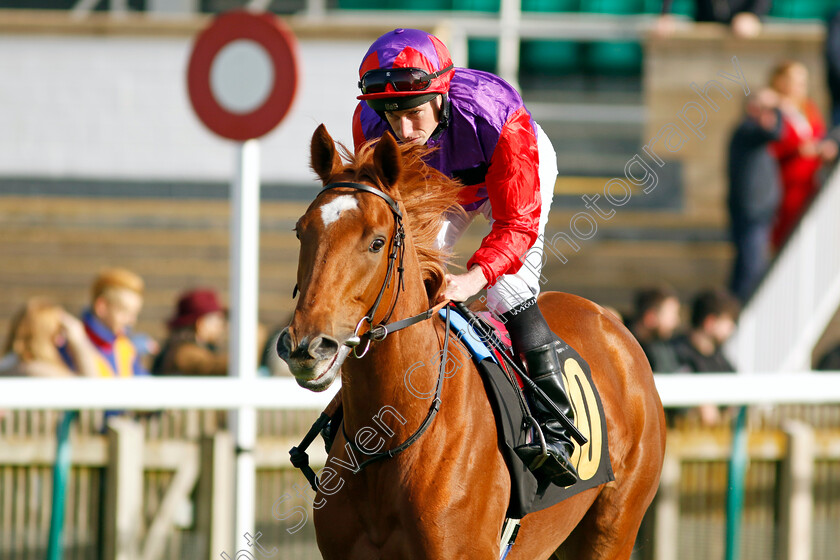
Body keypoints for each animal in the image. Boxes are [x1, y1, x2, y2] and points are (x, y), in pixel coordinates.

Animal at [278, 127, 668, 560]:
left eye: (377, 242)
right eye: (301, 231)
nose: (308, 347)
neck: (390, 438)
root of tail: (611, 322)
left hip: (614, 525)